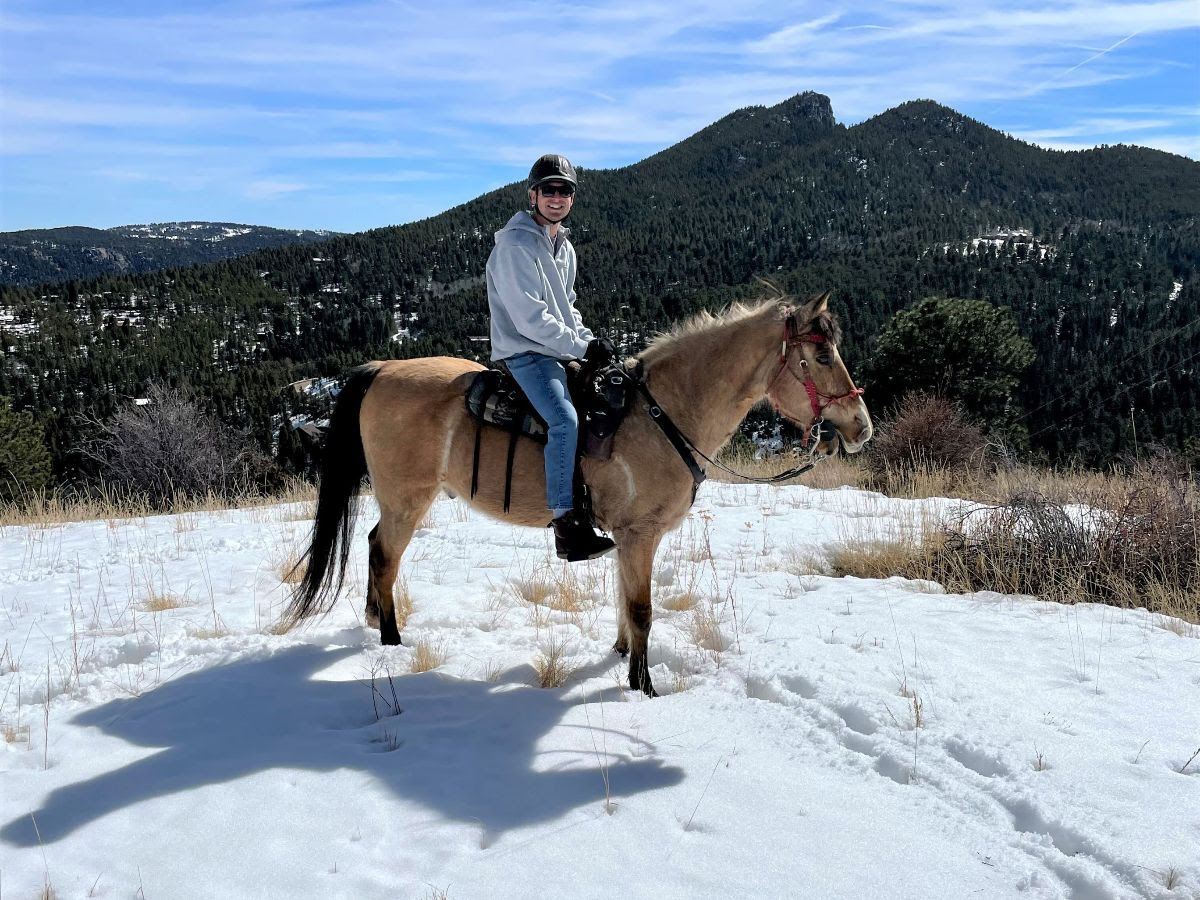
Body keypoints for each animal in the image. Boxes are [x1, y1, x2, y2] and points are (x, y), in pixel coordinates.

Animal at [288, 294, 873, 696]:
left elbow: (623, 602)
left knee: (372, 545)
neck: (664, 413)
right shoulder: (639, 535)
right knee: (386, 556)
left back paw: (373, 622)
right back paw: (390, 640)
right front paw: (643, 686)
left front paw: (619, 656)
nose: (861, 427)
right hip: (407, 499)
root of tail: (382, 369)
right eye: (823, 357)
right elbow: (642, 610)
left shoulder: (626, 537)